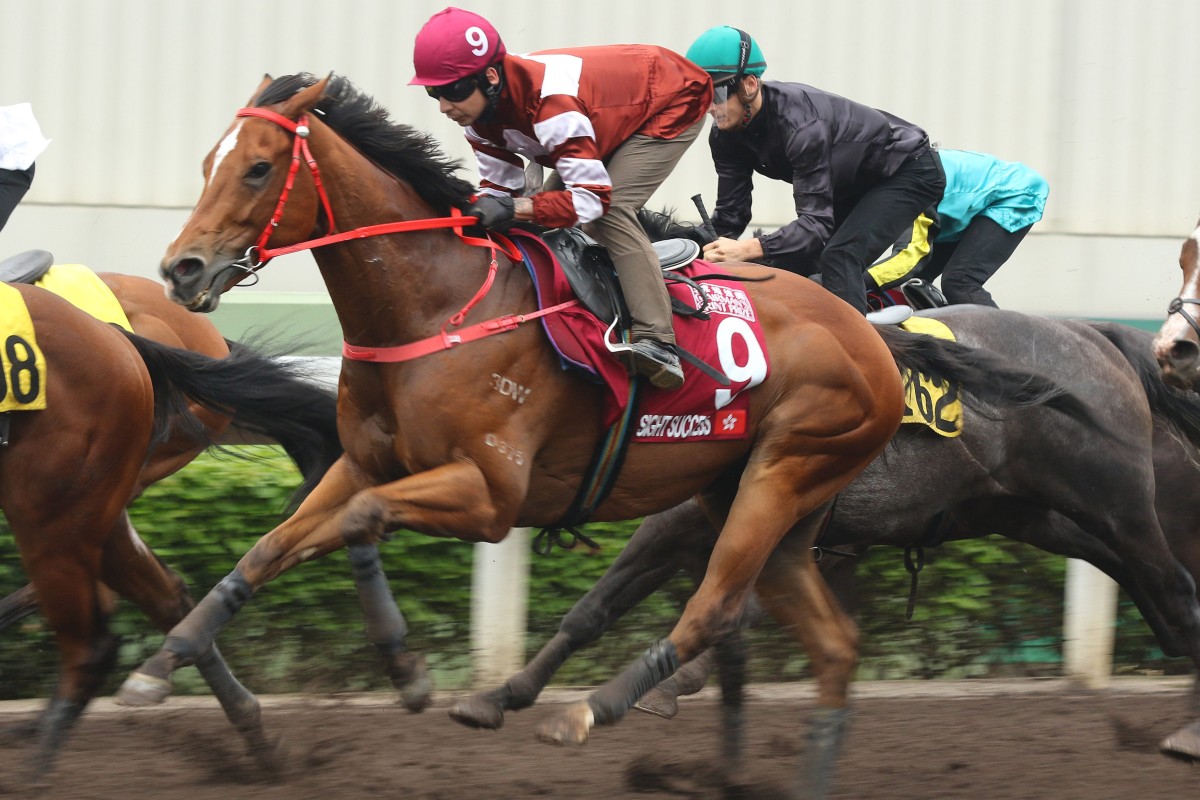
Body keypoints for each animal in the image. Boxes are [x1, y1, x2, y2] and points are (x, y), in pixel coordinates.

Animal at [0, 275, 343, 782]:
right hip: (91, 497)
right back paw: (255, 738)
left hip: (58, 502)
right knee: (160, 598)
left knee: (95, 639)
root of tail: (118, 338)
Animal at [138, 73, 1080, 796]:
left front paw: (407, 673)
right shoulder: (368, 459)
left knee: (714, 608)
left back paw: (587, 711)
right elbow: (276, 545)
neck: (438, 303)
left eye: (259, 169)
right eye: (209, 163)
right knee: (835, 647)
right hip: (771, 504)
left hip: (783, 472)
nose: (181, 269)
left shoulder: (489, 495)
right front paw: (163, 661)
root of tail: (873, 334)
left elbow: (360, 520)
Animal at [448, 316, 1200, 791]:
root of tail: (1096, 335)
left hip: (1115, 504)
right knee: (1155, 594)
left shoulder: (695, 525)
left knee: (1177, 590)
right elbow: (603, 614)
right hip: (1033, 512)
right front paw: (497, 697)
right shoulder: (727, 531)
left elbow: (640, 611)